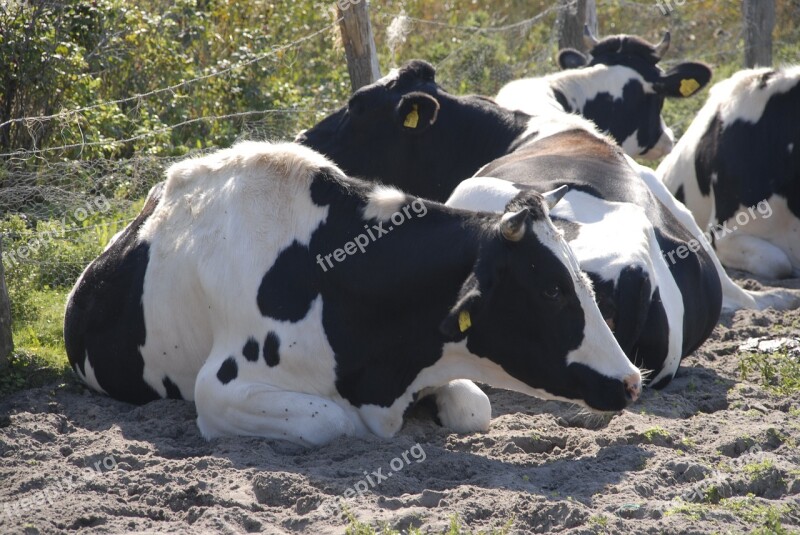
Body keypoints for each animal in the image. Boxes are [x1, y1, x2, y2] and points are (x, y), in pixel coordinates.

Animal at [62, 140, 640, 446]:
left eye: (583, 282)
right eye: (551, 290)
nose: (632, 381)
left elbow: (475, 407)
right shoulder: (219, 388)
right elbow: (333, 421)